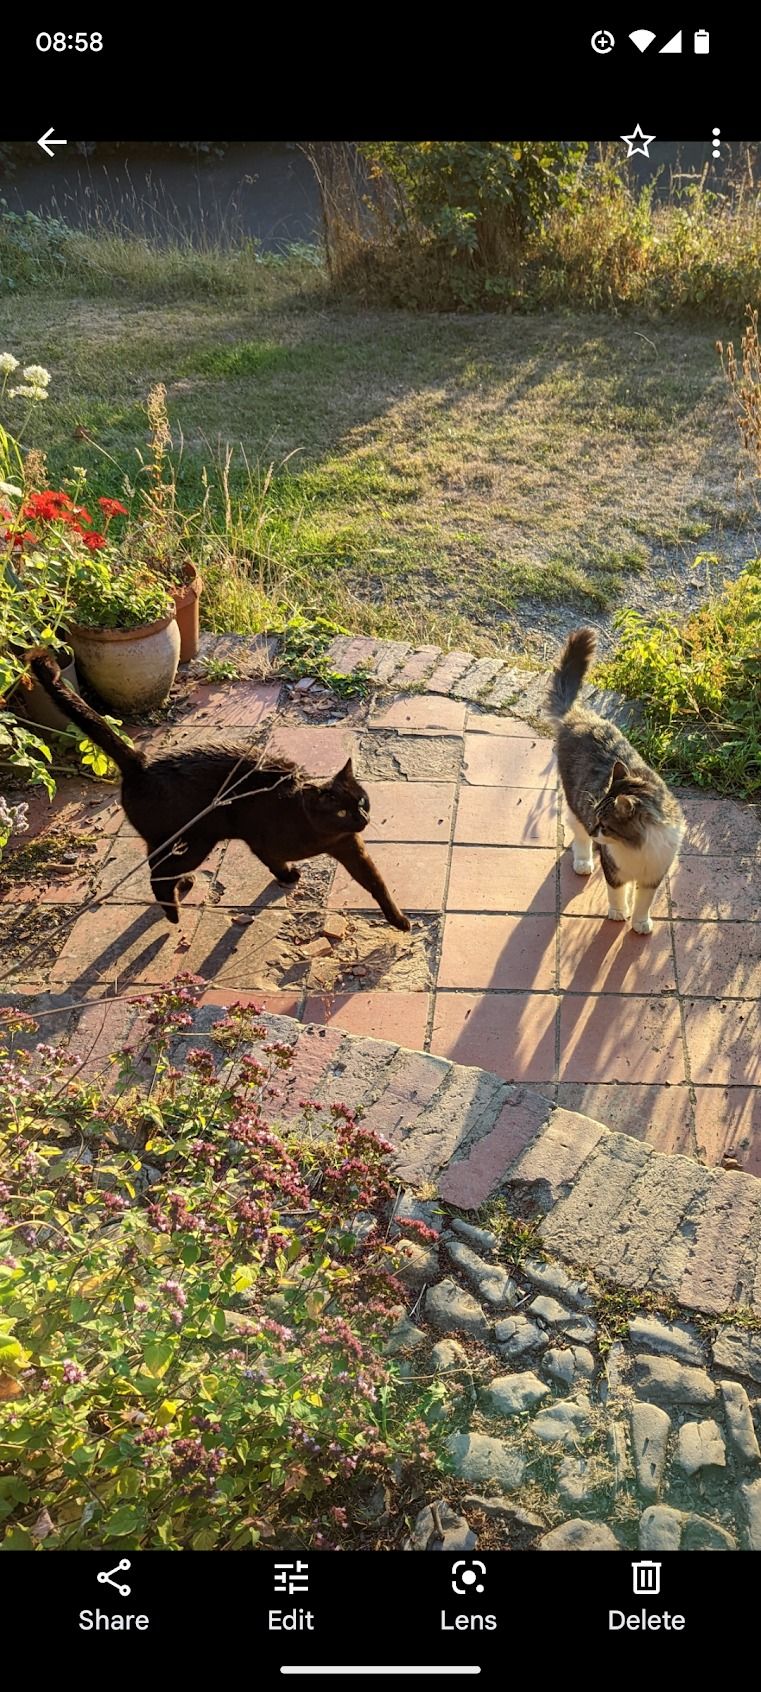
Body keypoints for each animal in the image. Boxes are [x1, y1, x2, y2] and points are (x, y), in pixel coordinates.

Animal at [547, 629, 683, 940]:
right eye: (597, 818)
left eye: (606, 825)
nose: (594, 830)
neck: (638, 849)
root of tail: (580, 716)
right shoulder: (614, 869)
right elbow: (617, 894)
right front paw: (620, 913)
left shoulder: (654, 874)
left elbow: (644, 902)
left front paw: (640, 922)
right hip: (574, 803)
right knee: (577, 835)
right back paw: (584, 861)